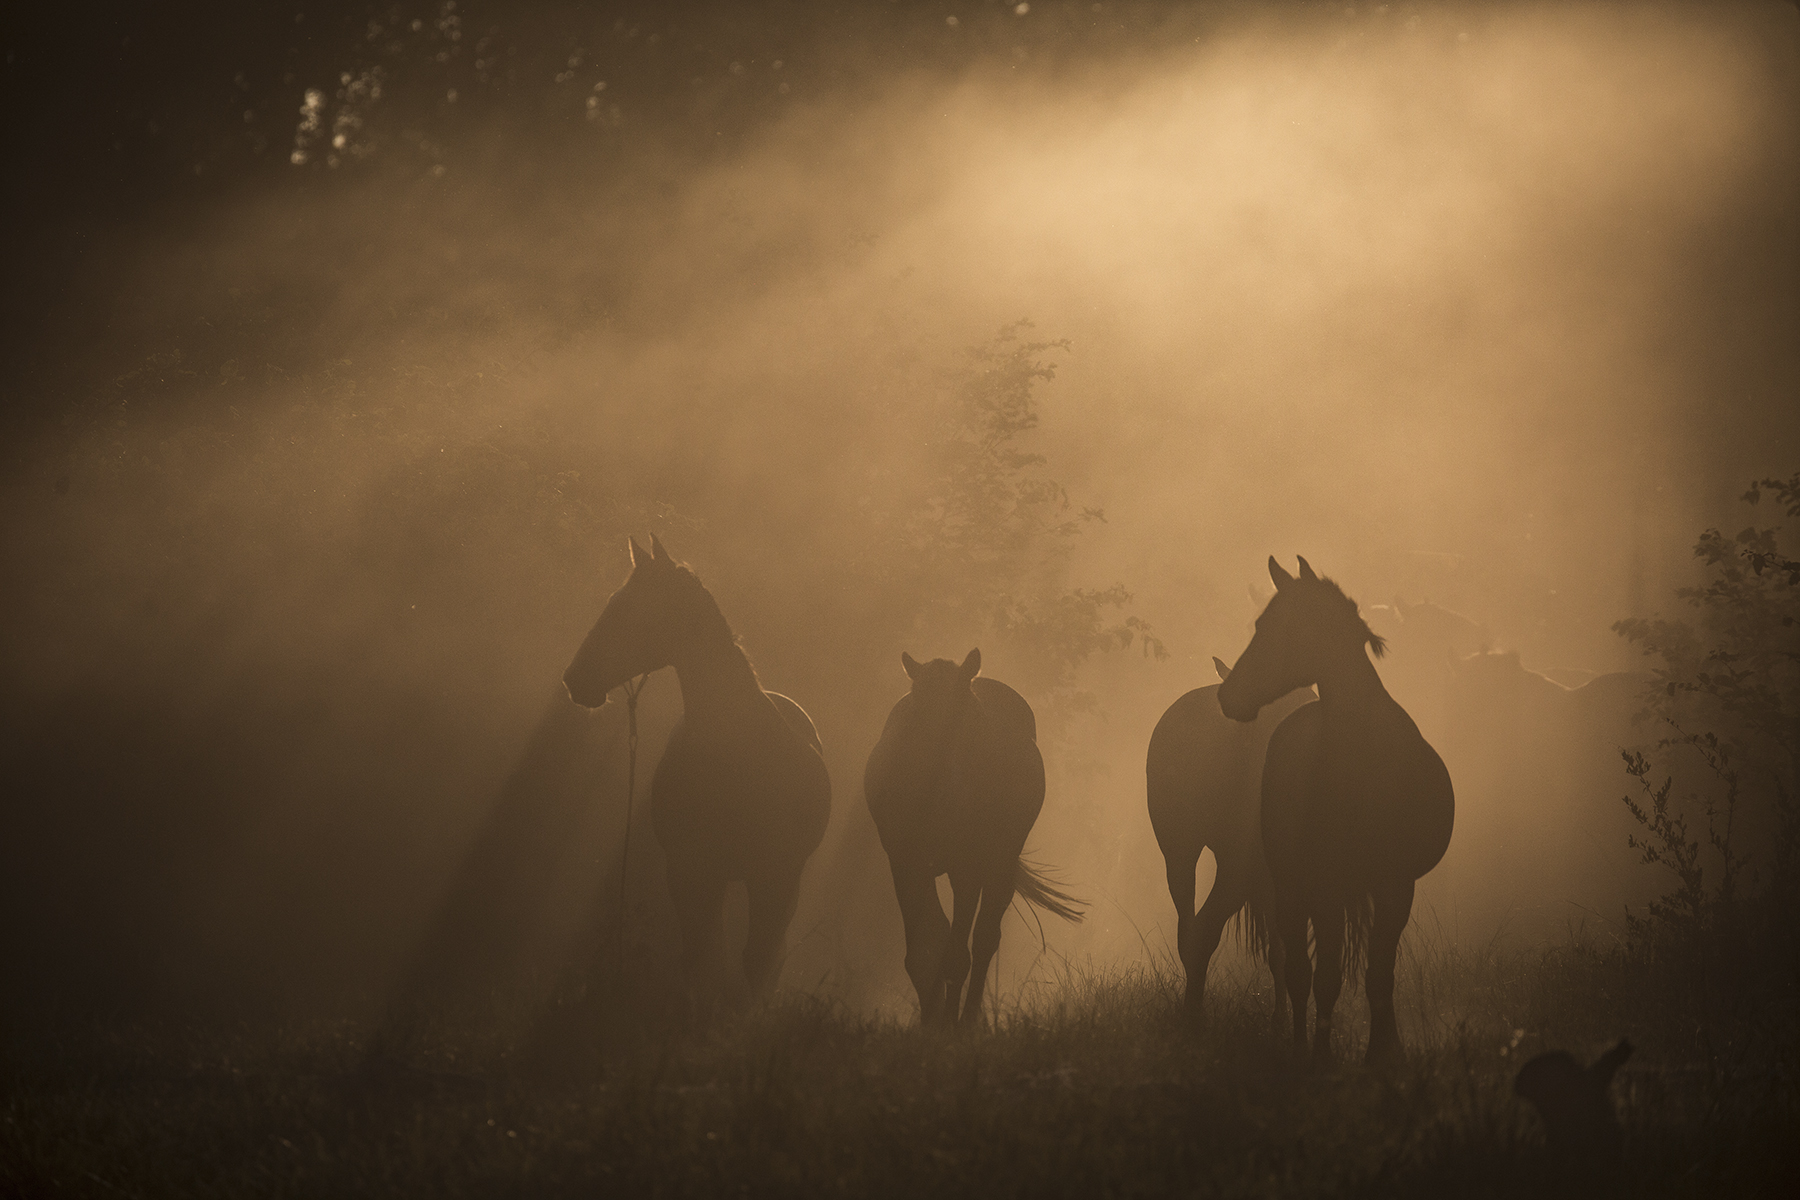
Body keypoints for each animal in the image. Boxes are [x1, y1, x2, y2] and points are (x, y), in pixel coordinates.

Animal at [562, 535, 831, 1006]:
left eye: (631, 609)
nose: (575, 678)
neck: (737, 757)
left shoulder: (776, 876)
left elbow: (758, 960)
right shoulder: (689, 869)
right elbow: (701, 955)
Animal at [864, 649, 1084, 1026]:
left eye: (966, 717)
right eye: (915, 714)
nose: (944, 789)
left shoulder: (966, 870)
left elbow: (957, 955)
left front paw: (950, 1026)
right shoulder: (906, 864)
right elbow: (923, 952)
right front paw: (930, 1023)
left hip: (1000, 865)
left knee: (984, 938)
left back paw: (966, 1020)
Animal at [1217, 557, 1454, 1066]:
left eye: (1273, 627)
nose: (1228, 697)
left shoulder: (1394, 887)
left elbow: (1379, 975)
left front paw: (1385, 1054)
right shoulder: (1324, 887)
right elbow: (1324, 977)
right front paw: (1324, 1057)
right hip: (1293, 890)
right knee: (1298, 973)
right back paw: (1301, 1046)